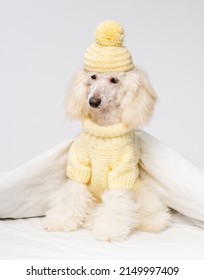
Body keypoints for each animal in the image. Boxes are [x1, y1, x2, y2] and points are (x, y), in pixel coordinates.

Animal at [43, 20, 172, 242]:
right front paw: (60, 221)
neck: (104, 132)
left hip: (141, 192)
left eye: (114, 80)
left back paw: (153, 222)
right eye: (93, 77)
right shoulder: (79, 166)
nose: (93, 101)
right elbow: (72, 196)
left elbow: (116, 204)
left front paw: (109, 231)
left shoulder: (122, 174)